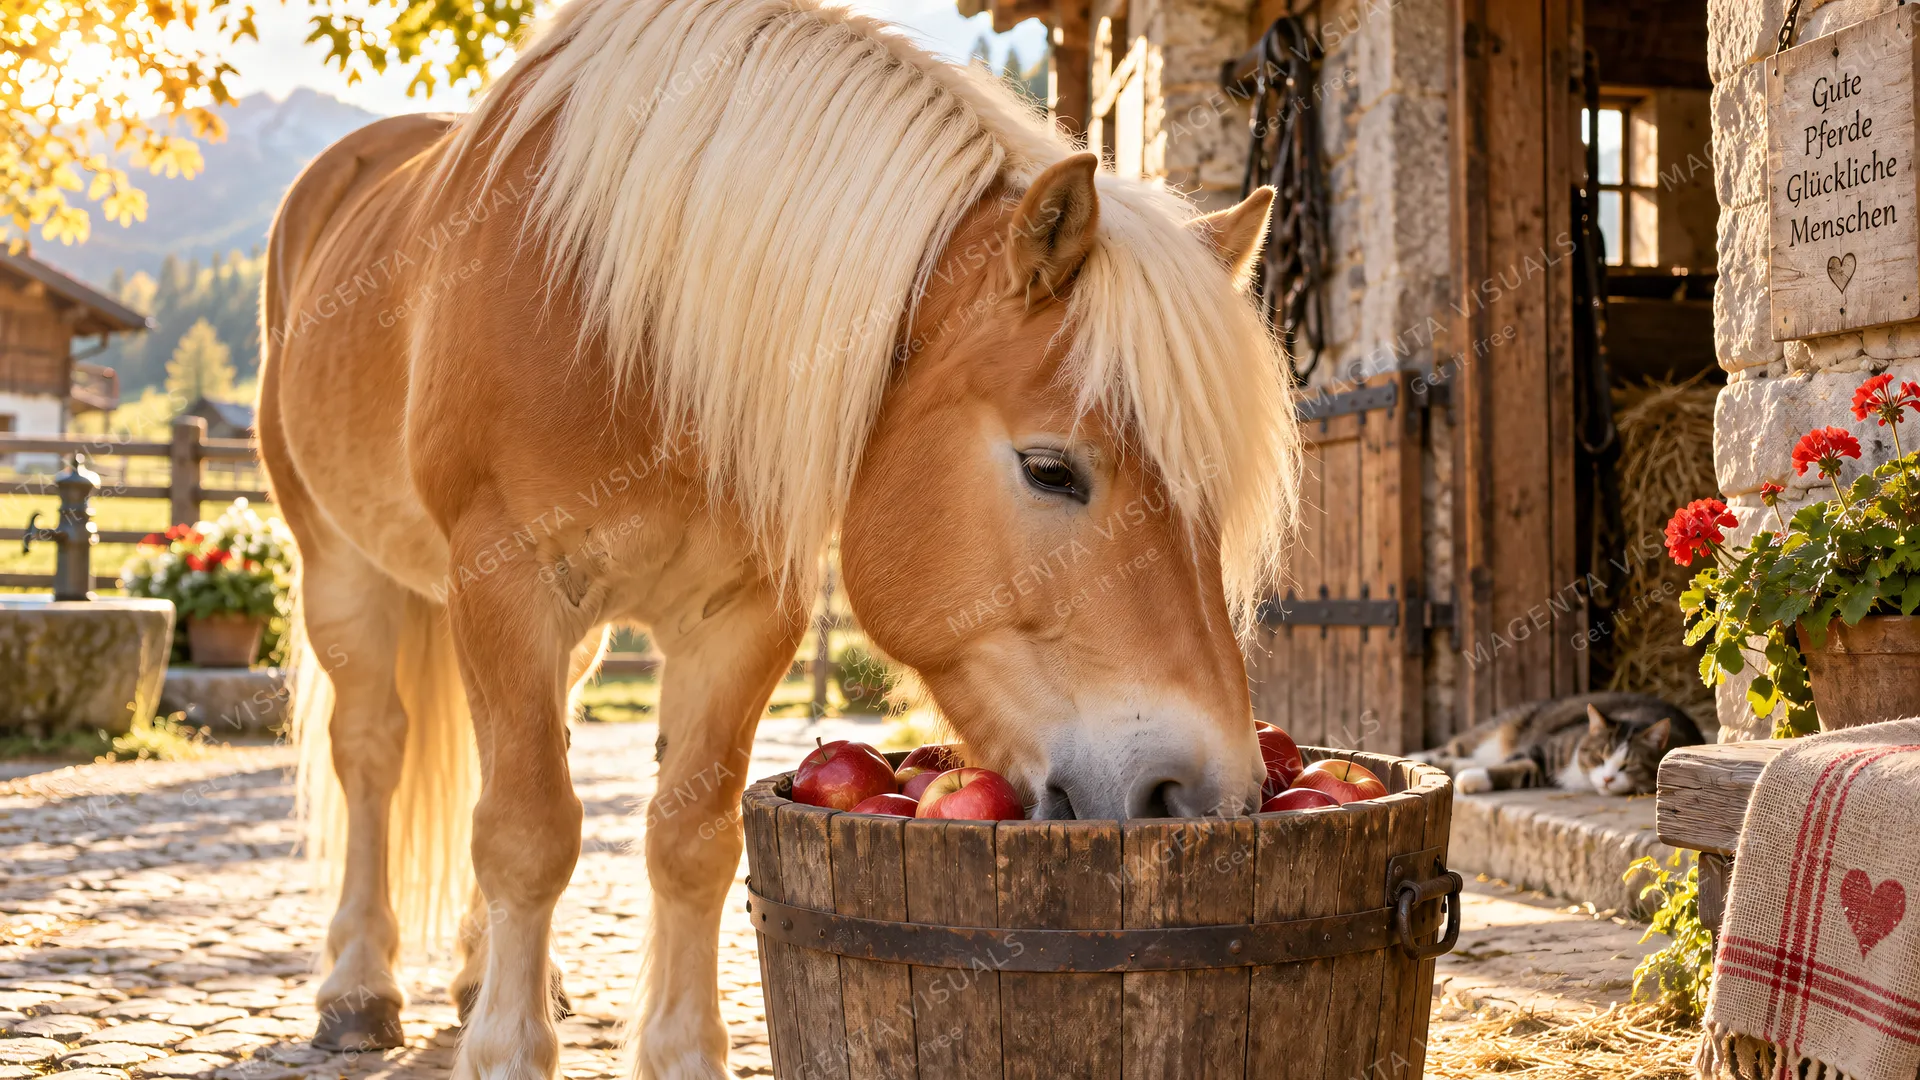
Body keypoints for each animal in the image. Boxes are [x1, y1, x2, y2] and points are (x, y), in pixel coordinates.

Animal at [257, 0, 1301, 1074]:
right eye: (1051, 470)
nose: (1205, 794)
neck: (631, 330)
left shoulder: (744, 615)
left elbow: (692, 839)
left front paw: (677, 1052)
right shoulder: (506, 585)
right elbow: (526, 831)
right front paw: (507, 1049)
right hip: (338, 567)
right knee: (371, 751)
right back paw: (356, 989)